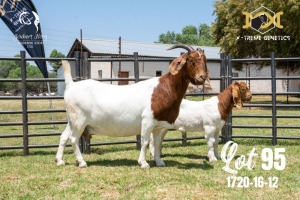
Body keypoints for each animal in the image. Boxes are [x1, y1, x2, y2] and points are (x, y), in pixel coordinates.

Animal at [55, 44, 209, 168]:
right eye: (191, 61)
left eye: (205, 61)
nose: (202, 77)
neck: (165, 89)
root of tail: (71, 85)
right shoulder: (148, 120)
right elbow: (145, 141)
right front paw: (143, 163)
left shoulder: (159, 126)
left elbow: (157, 143)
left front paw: (159, 162)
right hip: (80, 120)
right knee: (73, 139)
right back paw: (82, 162)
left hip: (72, 120)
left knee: (63, 136)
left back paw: (60, 160)